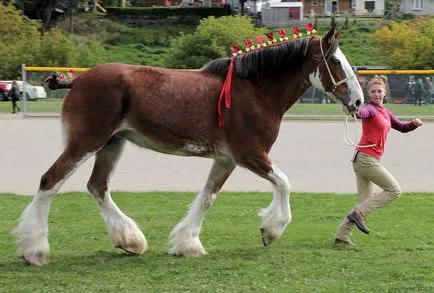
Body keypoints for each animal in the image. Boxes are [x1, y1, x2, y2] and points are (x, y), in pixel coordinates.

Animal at [14, 26, 362, 266]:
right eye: (335, 61)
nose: (358, 102)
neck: (256, 90)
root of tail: (79, 79)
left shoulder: (226, 160)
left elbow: (207, 198)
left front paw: (187, 244)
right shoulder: (249, 154)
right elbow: (285, 183)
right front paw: (271, 230)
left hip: (112, 145)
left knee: (97, 187)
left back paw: (129, 240)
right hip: (87, 142)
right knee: (50, 181)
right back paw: (34, 250)